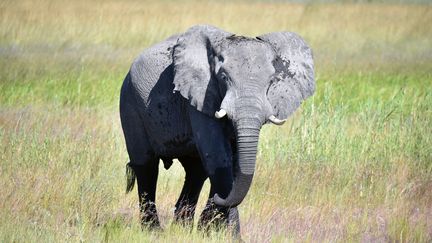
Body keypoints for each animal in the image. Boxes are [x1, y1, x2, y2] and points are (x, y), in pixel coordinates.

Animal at [120, 24, 316, 235]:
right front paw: (226, 233)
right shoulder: (201, 94)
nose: (219, 199)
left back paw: (183, 228)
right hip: (130, 102)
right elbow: (219, 157)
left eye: (271, 81)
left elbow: (234, 162)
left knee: (196, 172)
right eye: (223, 77)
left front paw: (212, 231)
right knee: (146, 166)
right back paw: (154, 231)